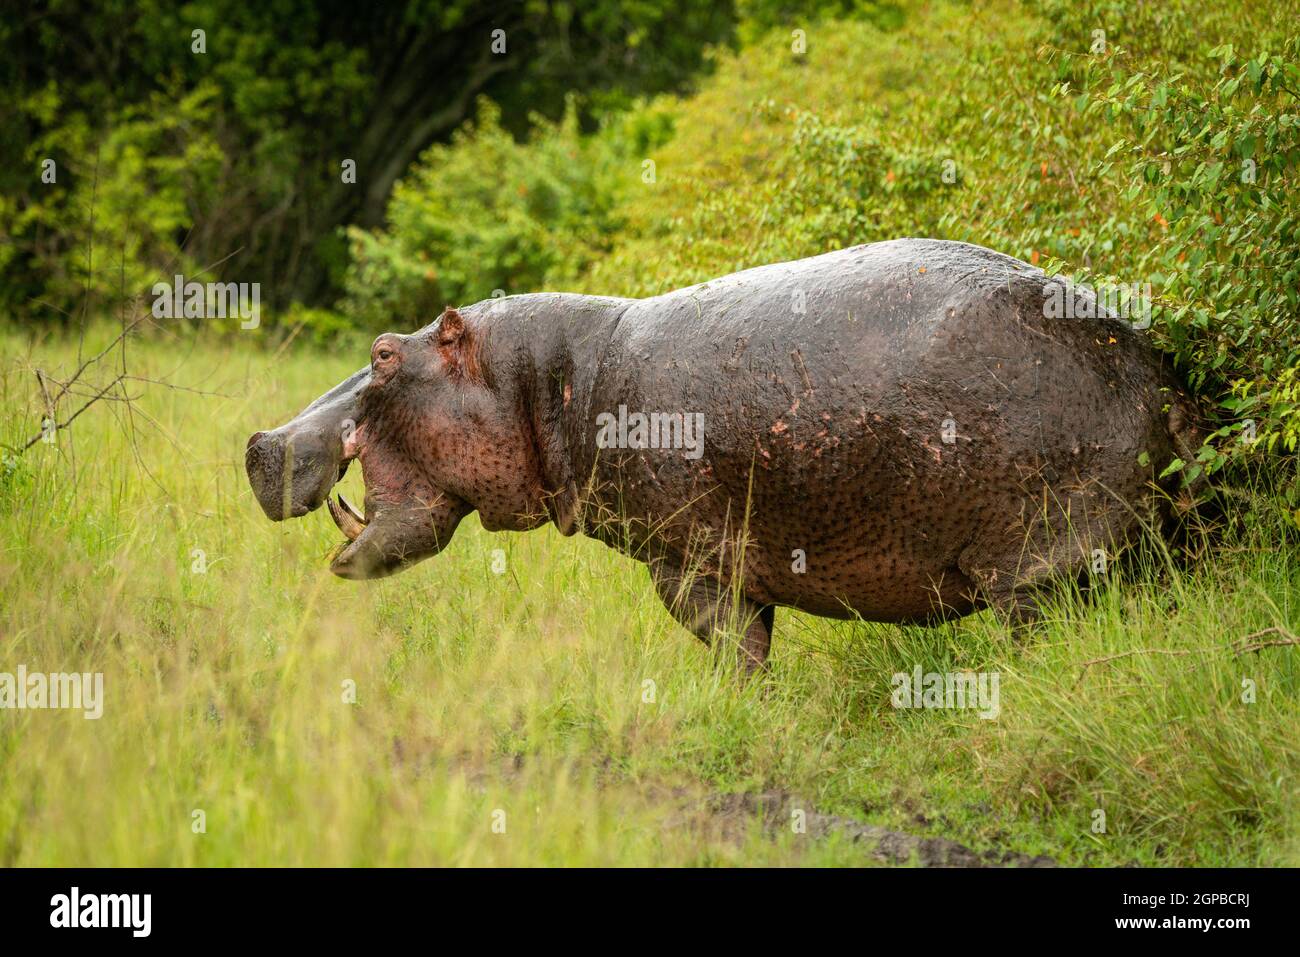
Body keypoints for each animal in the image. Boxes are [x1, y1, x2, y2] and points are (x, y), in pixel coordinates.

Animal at [246, 239, 1203, 672]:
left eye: (381, 354)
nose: (259, 443)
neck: (548, 380)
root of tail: (1161, 376)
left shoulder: (690, 561)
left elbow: (734, 646)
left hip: (1040, 571)